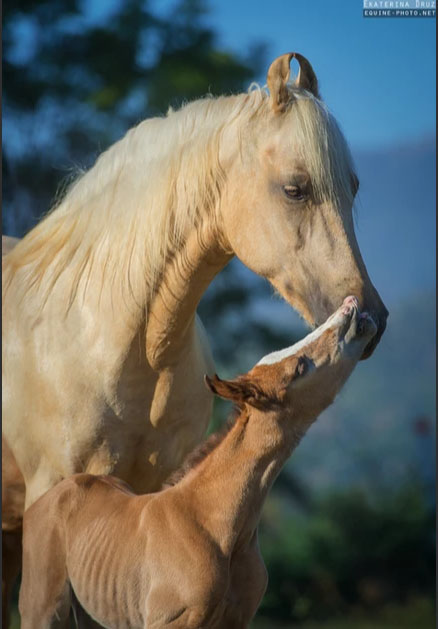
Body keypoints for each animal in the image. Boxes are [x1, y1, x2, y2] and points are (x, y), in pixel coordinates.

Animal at [19, 296, 376, 624]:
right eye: (300, 366)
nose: (351, 306)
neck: (213, 521)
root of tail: (49, 498)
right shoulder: (171, 621)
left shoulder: (238, 619)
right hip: (42, 609)